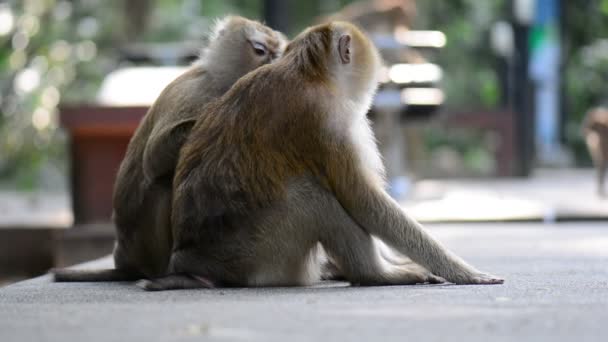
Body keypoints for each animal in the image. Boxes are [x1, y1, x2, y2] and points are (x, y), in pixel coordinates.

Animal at [52, 16, 288, 282]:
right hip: (150, 248)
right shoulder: (197, 92)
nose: (274, 64)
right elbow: (154, 159)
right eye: (260, 50)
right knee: (162, 184)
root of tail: (127, 260)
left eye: (279, 53)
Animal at [139, 20, 504, 292]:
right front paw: (461, 271)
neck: (309, 73)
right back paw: (374, 274)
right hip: (259, 257)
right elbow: (362, 200)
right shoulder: (329, 120)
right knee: (311, 196)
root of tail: (190, 260)